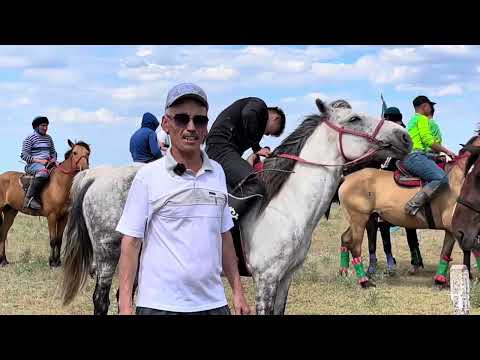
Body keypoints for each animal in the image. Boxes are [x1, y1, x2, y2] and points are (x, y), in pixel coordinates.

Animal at [0, 140, 91, 268]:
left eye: (87, 153)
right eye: (75, 152)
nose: (84, 169)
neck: (60, 183)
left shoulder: (64, 217)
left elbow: (59, 240)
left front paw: (58, 261)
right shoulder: (51, 216)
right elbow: (53, 240)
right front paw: (52, 261)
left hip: (10, 212)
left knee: (3, 233)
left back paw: (4, 260)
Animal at [338, 134, 480, 288]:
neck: (460, 179)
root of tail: (346, 178)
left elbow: (450, 252)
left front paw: (442, 279)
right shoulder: (457, 228)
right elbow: (461, 250)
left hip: (361, 219)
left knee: (345, 239)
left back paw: (344, 272)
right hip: (359, 220)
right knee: (355, 247)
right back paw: (364, 281)